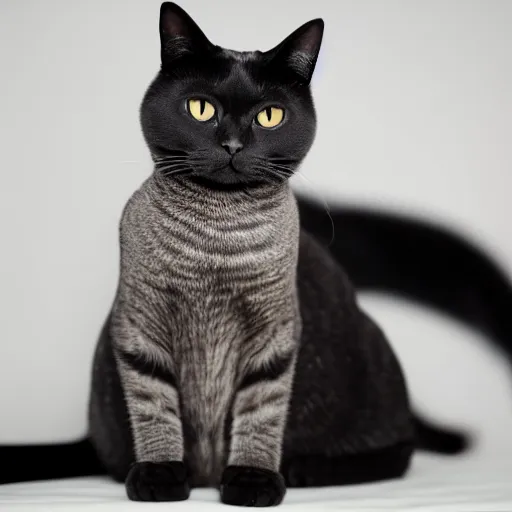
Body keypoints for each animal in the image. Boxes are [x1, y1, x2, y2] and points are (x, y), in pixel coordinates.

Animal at [5, 0, 512, 504]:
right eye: (201, 108)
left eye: (269, 116)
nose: (232, 144)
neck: (215, 239)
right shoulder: (140, 328)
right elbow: (154, 406)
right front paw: (160, 475)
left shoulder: (273, 337)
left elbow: (260, 413)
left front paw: (252, 480)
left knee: (401, 449)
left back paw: (306, 468)